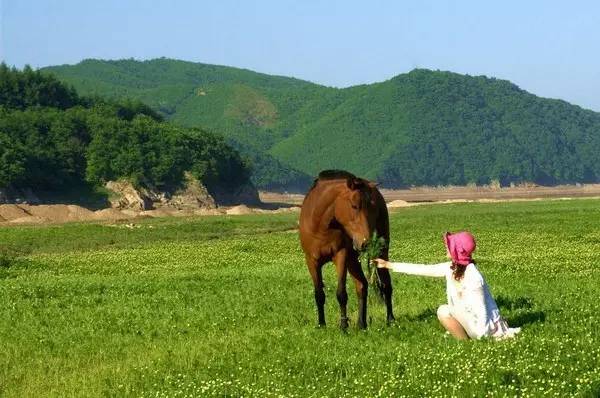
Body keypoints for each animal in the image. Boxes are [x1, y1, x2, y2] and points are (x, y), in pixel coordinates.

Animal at [298, 171, 394, 330]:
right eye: (354, 206)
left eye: (373, 208)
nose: (366, 242)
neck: (321, 226)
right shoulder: (311, 260)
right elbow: (319, 294)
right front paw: (321, 324)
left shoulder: (341, 256)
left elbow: (341, 293)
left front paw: (343, 326)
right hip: (353, 259)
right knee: (362, 285)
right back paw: (362, 324)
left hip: (380, 250)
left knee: (386, 284)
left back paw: (390, 319)